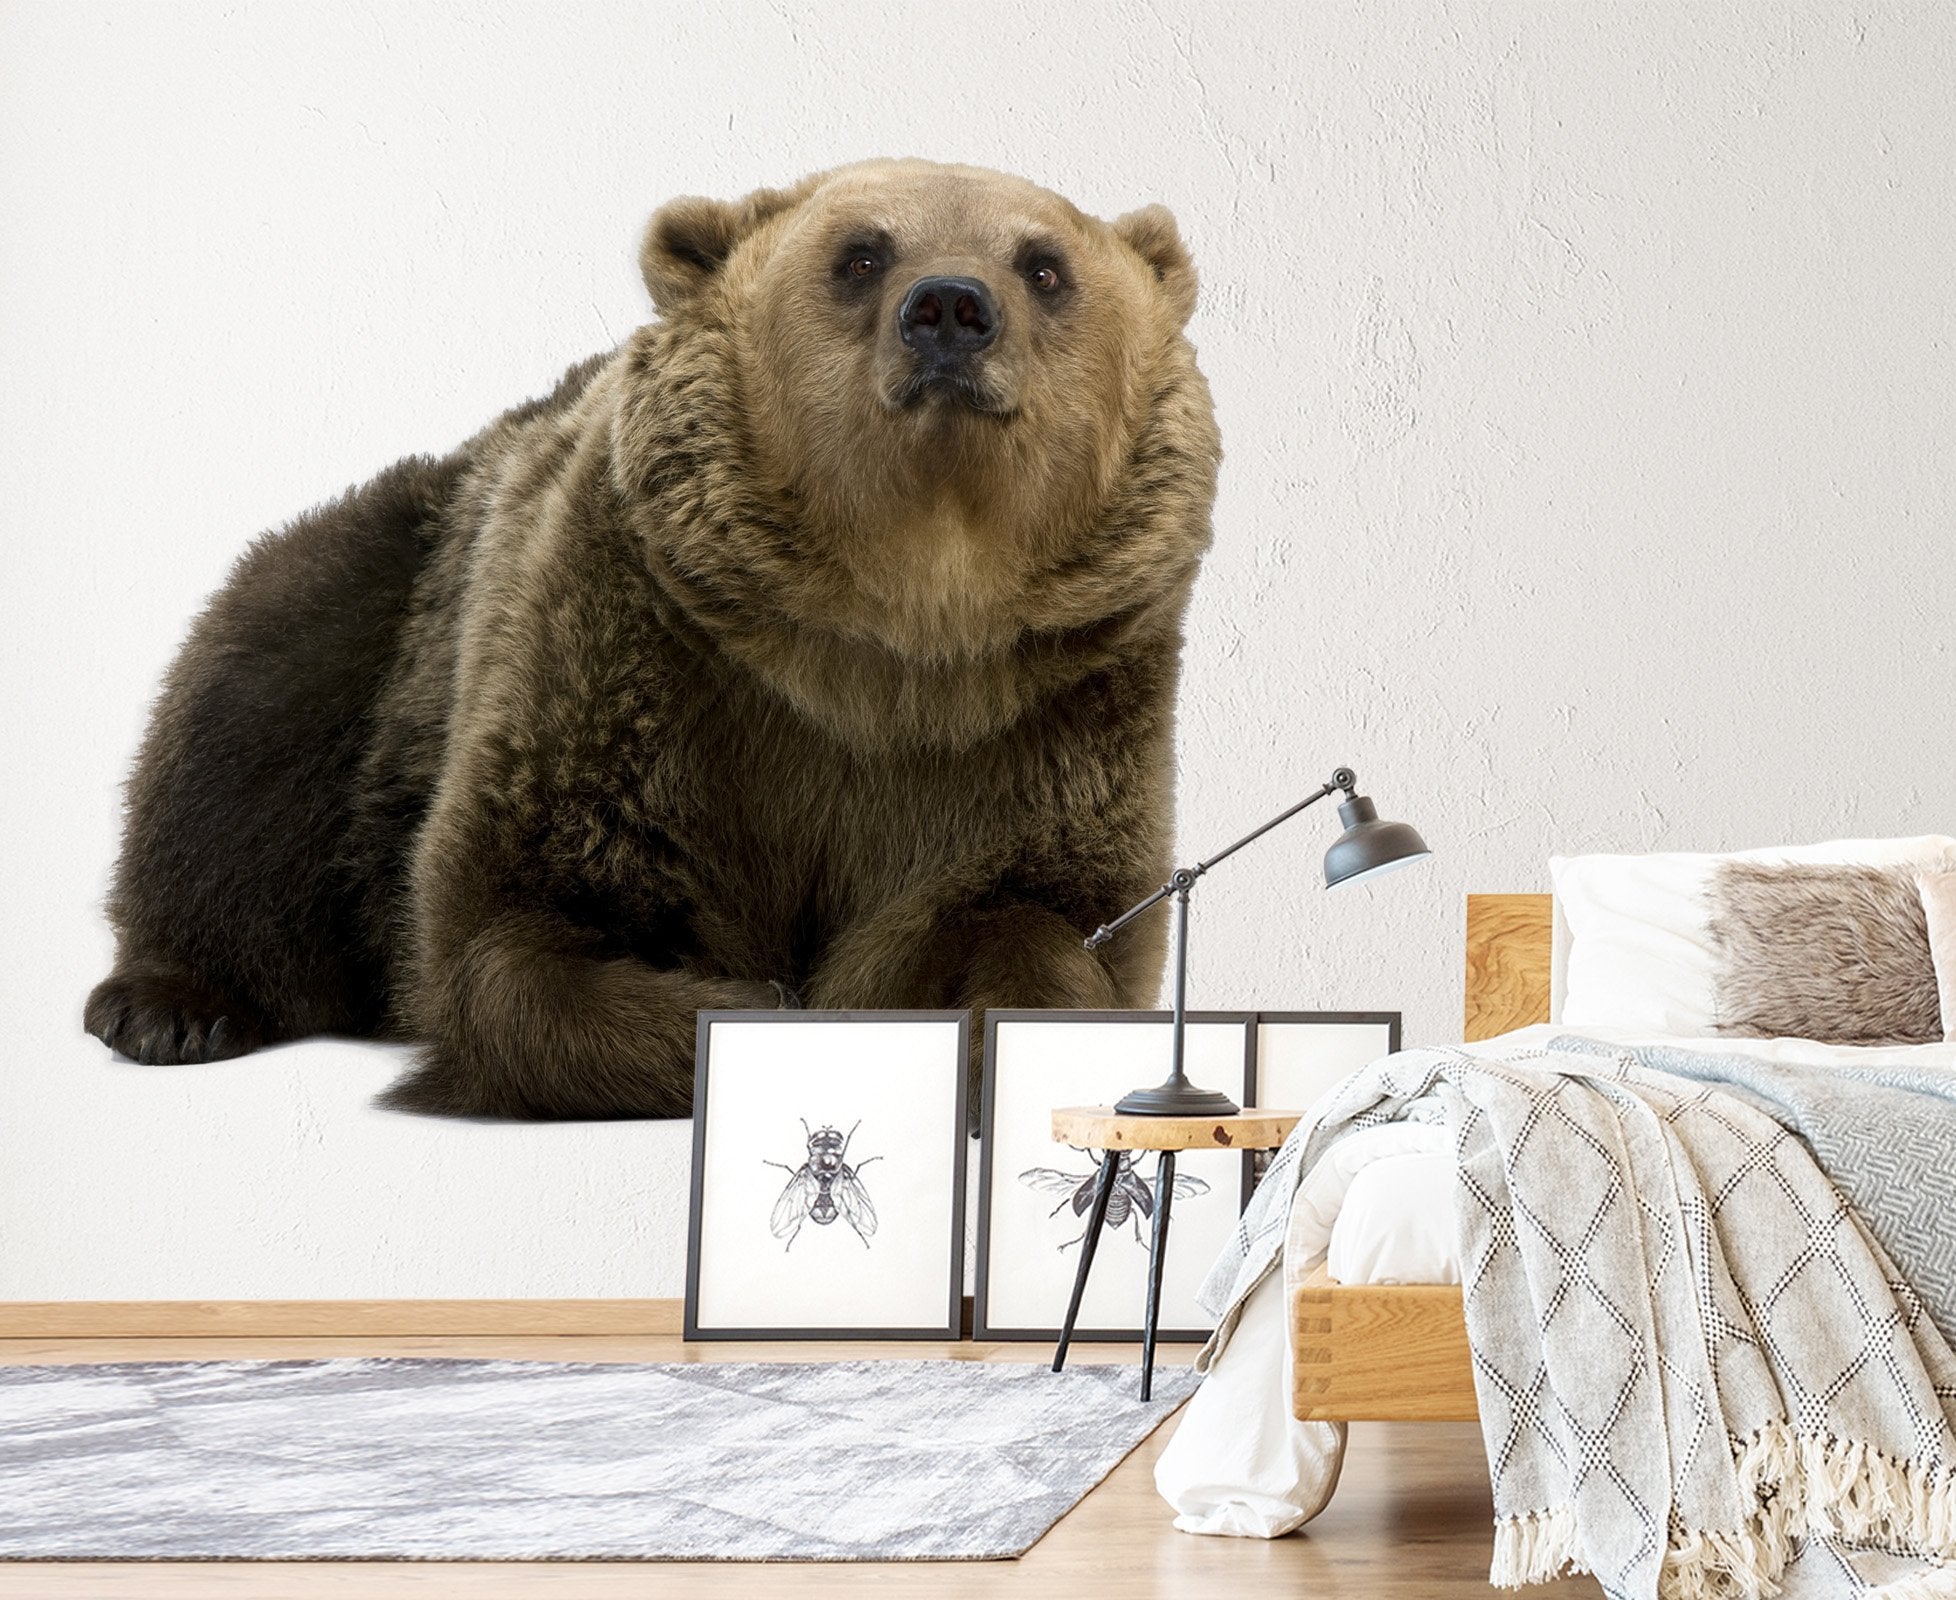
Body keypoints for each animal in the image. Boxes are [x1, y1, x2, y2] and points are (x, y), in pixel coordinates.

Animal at [83, 158, 1222, 1119]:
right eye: (860, 253)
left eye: (1044, 263)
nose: (949, 308)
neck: (888, 632)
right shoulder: (634, 658)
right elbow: (514, 925)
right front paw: (756, 1004)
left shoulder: (1046, 714)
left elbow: (1040, 914)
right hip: (386, 622)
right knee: (249, 711)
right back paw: (169, 1005)